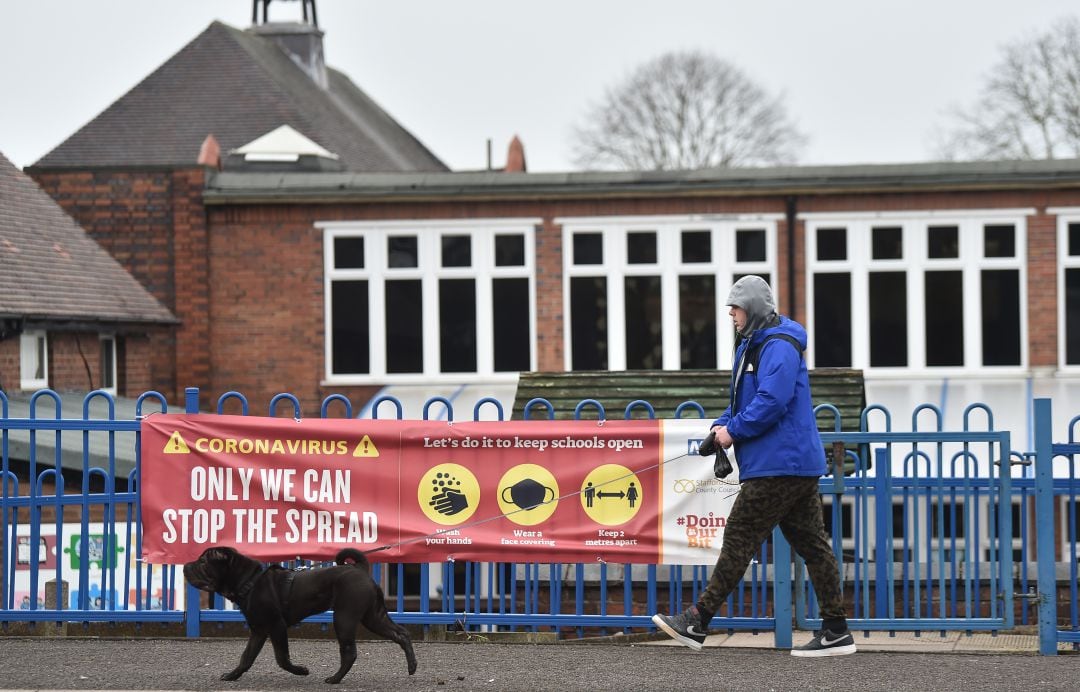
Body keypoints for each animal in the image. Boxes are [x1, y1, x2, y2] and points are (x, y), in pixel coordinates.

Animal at [181, 548, 416, 682]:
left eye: (203, 562)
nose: (185, 566)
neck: (249, 581)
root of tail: (360, 569)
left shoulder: (276, 626)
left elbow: (282, 658)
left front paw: (301, 671)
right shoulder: (258, 631)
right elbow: (246, 657)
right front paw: (232, 675)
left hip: (344, 618)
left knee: (350, 652)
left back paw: (334, 679)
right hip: (374, 616)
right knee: (401, 633)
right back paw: (412, 666)